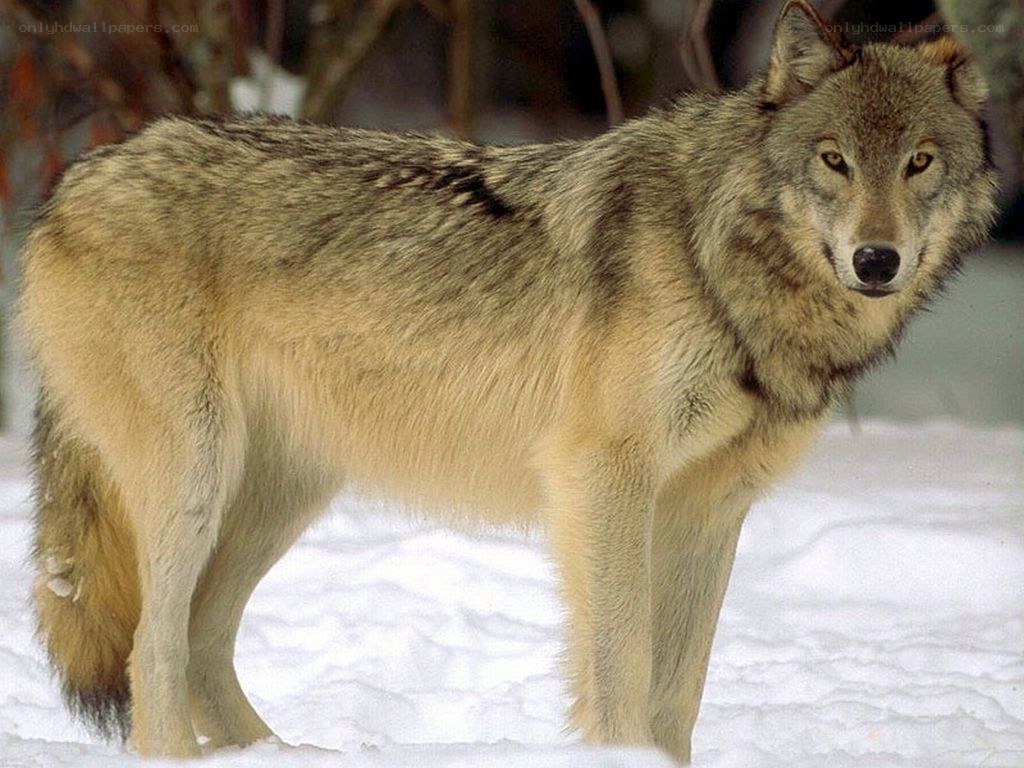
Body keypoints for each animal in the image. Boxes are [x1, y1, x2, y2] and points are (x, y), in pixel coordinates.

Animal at [18, 0, 996, 761]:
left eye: (919, 162)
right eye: (835, 160)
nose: (877, 261)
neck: (722, 265)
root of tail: (78, 180)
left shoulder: (711, 509)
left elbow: (679, 692)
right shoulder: (603, 476)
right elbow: (624, 667)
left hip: (282, 492)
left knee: (199, 642)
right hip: (198, 479)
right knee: (152, 653)